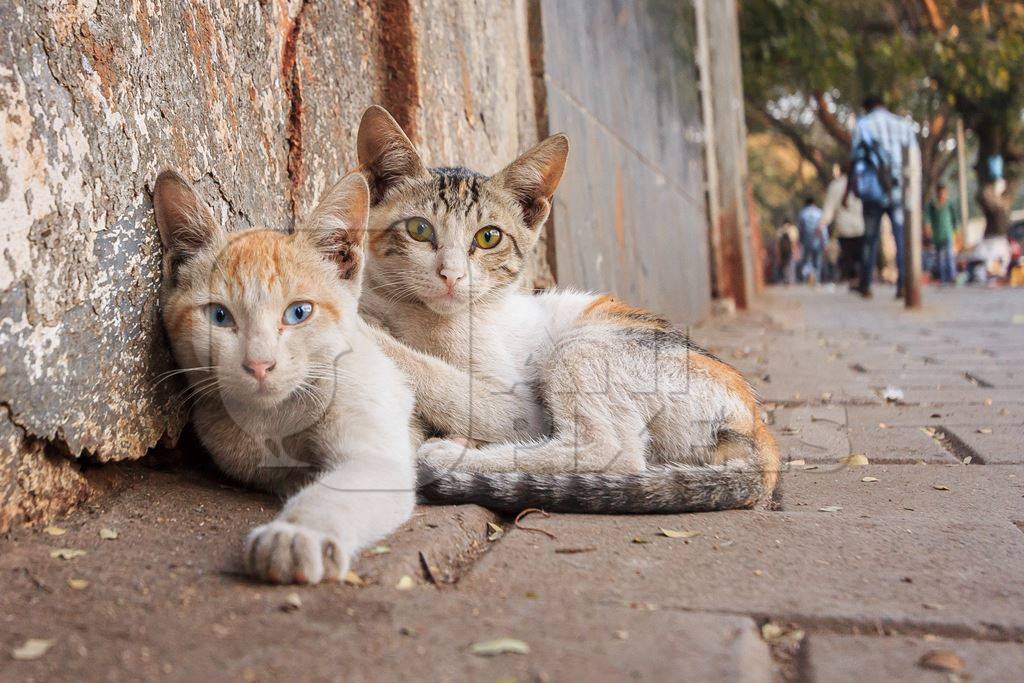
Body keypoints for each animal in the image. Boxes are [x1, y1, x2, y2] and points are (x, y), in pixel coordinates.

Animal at [152, 172, 415, 589]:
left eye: (299, 313)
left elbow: (337, 488)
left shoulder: (375, 442)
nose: (259, 364)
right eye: (219, 316)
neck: (274, 420)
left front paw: (297, 533)